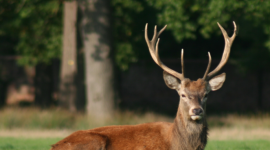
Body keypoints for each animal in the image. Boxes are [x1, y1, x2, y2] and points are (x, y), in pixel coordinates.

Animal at [50, 21, 236, 150]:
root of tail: (54, 146)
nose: (197, 110)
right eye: (182, 94)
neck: (178, 145)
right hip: (93, 141)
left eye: (206, 94)